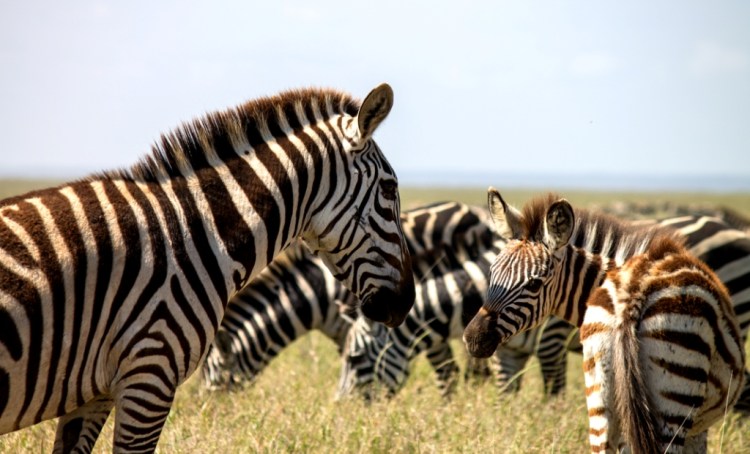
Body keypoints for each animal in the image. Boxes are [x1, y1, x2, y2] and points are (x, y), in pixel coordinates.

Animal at [464, 189, 745, 452]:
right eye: (492, 273)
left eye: (534, 284)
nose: (473, 339)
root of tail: (633, 292)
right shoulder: (697, 427)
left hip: (601, 390)